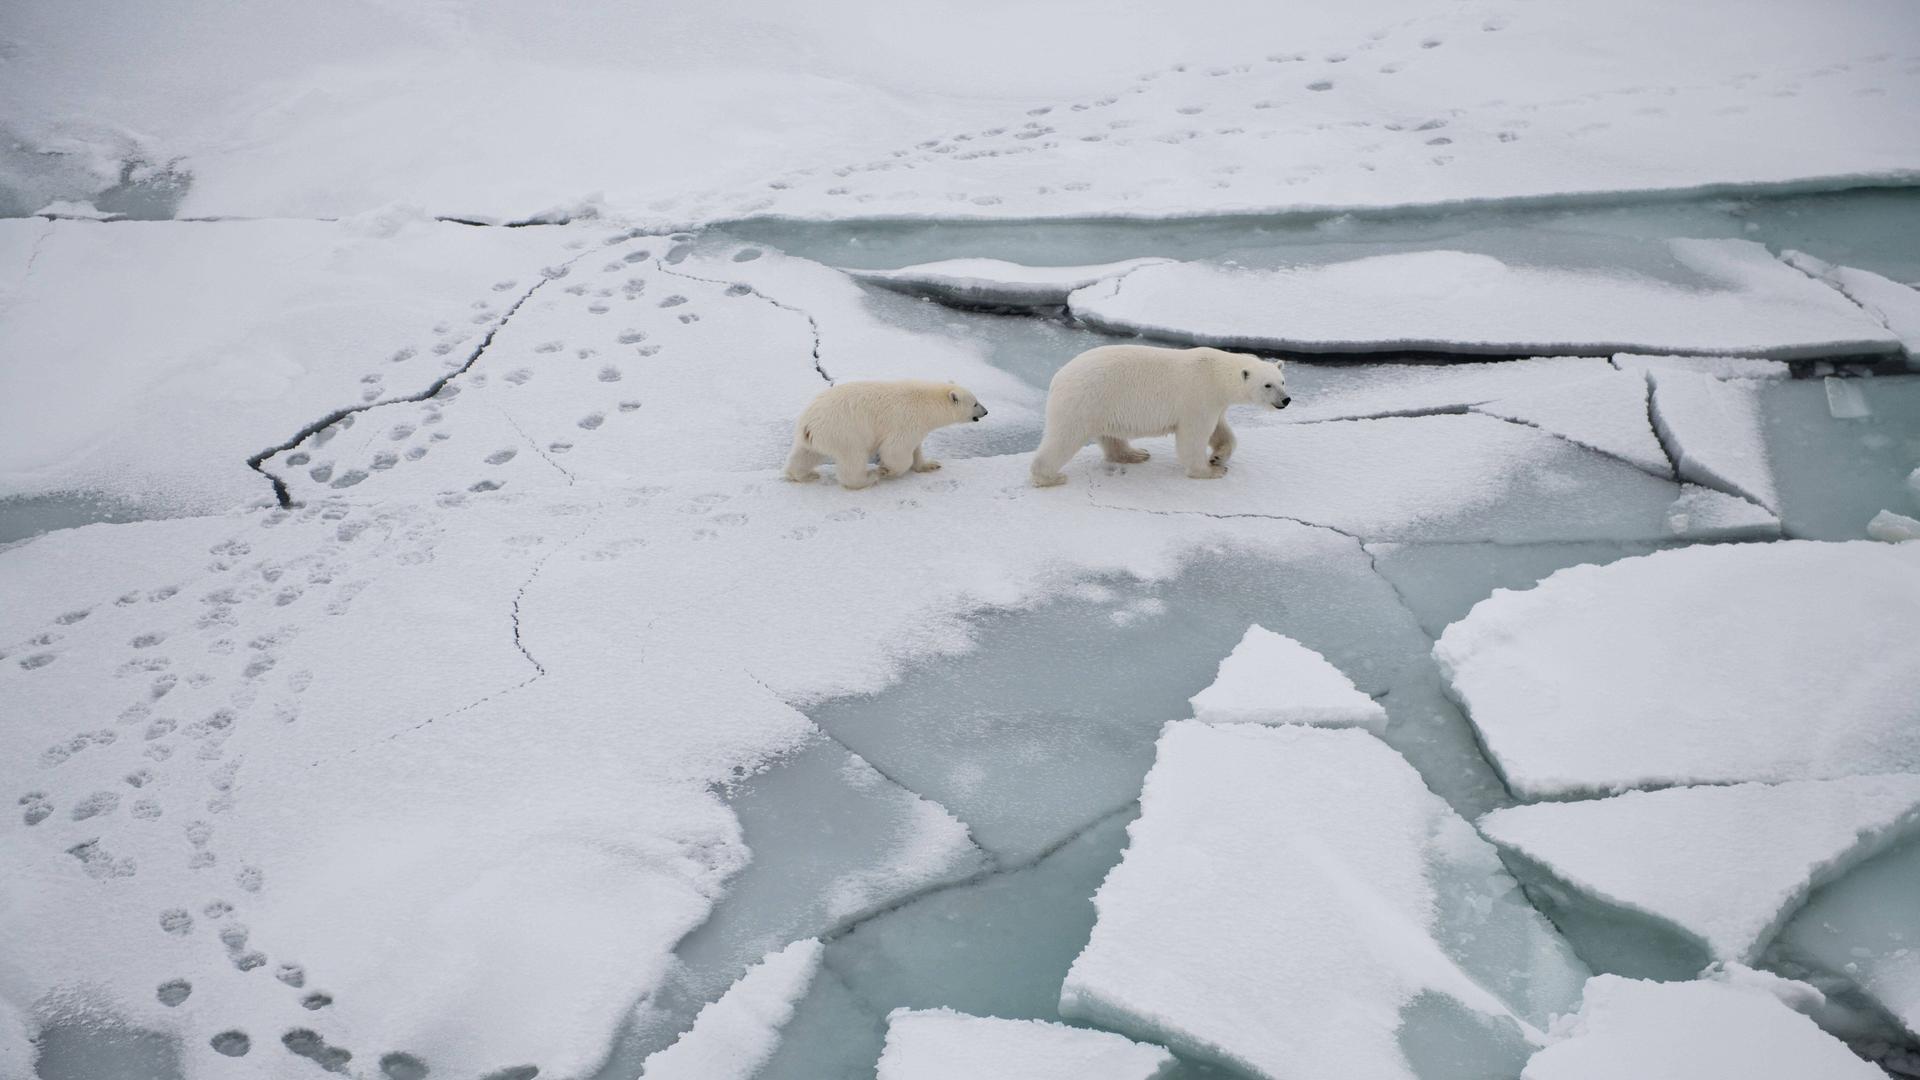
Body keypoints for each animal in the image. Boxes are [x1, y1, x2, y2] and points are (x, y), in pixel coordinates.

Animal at [783, 378, 990, 488]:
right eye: (975, 403)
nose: (986, 411)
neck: (927, 404)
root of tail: (809, 423)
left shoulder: (917, 427)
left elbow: (916, 449)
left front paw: (931, 465)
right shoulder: (905, 422)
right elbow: (896, 451)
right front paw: (886, 469)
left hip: (813, 437)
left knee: (805, 455)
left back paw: (805, 475)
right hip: (845, 432)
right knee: (853, 459)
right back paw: (869, 477)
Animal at [1036, 342, 1290, 486]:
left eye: (1283, 381)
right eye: (1267, 385)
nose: (1286, 400)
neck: (1217, 373)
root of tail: (1058, 377)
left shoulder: (1215, 402)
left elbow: (1222, 431)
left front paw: (1217, 457)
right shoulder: (1199, 396)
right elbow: (1194, 436)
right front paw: (1211, 471)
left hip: (1101, 405)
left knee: (1110, 436)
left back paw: (1135, 454)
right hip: (1084, 400)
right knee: (1063, 438)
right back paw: (1048, 477)